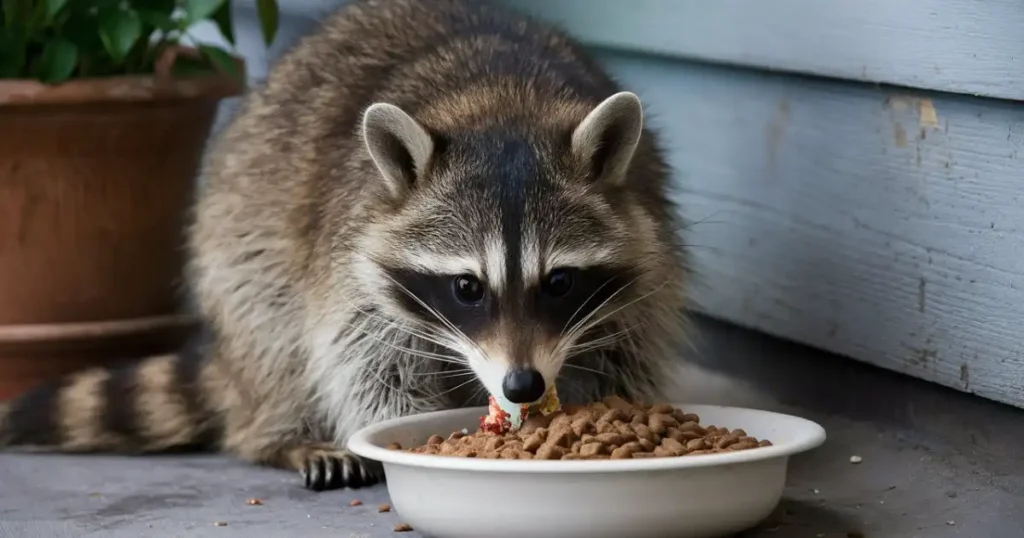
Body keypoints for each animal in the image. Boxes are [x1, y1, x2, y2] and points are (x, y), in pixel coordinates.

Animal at [0, 0, 689, 491]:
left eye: (559, 283)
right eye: (467, 287)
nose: (521, 384)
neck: (503, 104)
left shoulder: (645, 248)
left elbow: (626, 349)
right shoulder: (349, 257)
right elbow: (364, 362)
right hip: (239, 228)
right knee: (271, 326)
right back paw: (284, 432)